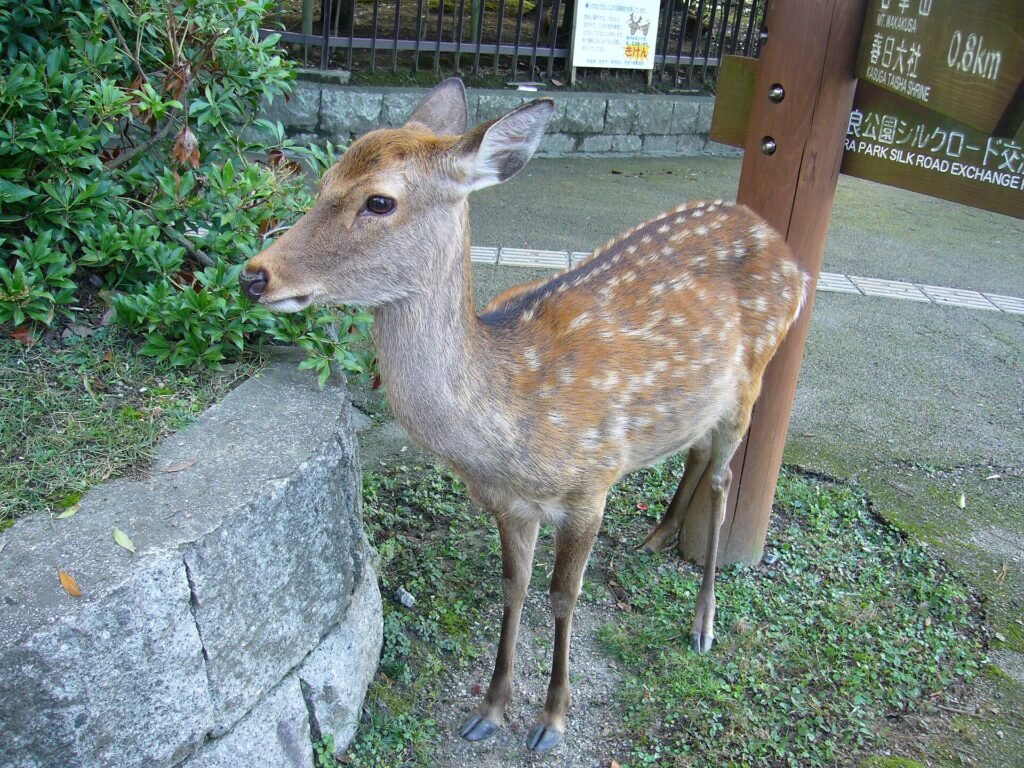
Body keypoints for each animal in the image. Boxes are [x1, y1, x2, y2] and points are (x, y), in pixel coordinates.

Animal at [239, 78, 809, 753]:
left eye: (379, 201)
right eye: (323, 180)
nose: (255, 275)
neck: (509, 430)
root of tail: (787, 253)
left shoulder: (591, 484)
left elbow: (563, 595)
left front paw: (552, 719)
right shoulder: (507, 503)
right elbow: (513, 587)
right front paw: (490, 708)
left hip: (755, 377)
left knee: (724, 478)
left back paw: (703, 622)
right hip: (699, 400)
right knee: (694, 448)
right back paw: (656, 537)